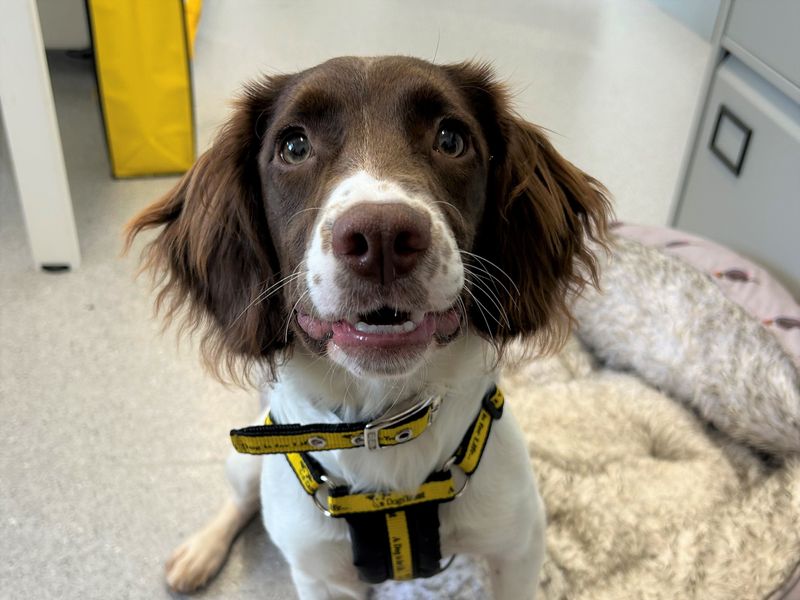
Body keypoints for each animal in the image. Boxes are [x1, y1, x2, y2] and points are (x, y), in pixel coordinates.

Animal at [128, 57, 608, 600]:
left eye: (451, 139)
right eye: (294, 146)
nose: (381, 237)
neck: (382, 423)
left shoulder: (520, 545)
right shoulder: (320, 576)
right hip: (247, 462)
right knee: (242, 501)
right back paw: (200, 551)